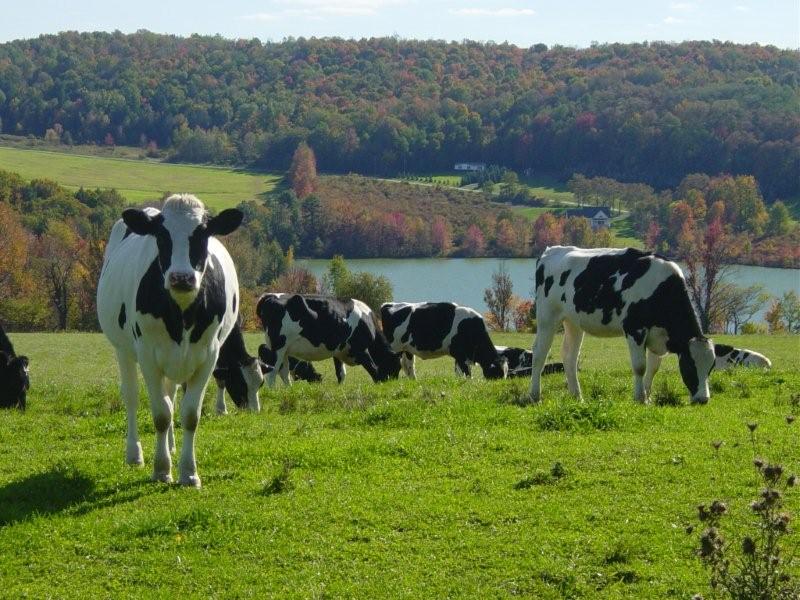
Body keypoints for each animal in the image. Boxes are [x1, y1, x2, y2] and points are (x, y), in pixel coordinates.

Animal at [97, 194, 243, 487]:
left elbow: (189, 414)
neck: (182, 314)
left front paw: (189, 472)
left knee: (171, 395)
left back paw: (172, 446)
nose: (181, 277)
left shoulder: (209, 356)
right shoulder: (147, 355)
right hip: (123, 350)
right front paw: (162, 469)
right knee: (131, 396)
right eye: (161, 236)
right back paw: (134, 454)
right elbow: (161, 415)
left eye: (203, 234)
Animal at [256, 293, 401, 385]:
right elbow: (373, 369)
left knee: (284, 373)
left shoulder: (339, 351)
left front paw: (340, 388)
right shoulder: (361, 349)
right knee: (272, 374)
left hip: (285, 351)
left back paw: (289, 390)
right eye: (397, 365)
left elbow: (341, 373)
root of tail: (269, 297)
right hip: (278, 347)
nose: (393, 382)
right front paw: (379, 384)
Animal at [529, 246, 715, 404]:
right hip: (547, 317)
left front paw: (648, 396)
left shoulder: (658, 334)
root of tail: (551, 250)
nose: (703, 399)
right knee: (539, 353)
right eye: (690, 366)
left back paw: (577, 396)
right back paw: (535, 395)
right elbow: (640, 366)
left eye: (711, 368)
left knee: (570, 357)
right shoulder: (635, 329)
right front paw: (640, 398)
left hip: (573, 322)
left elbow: (653, 367)